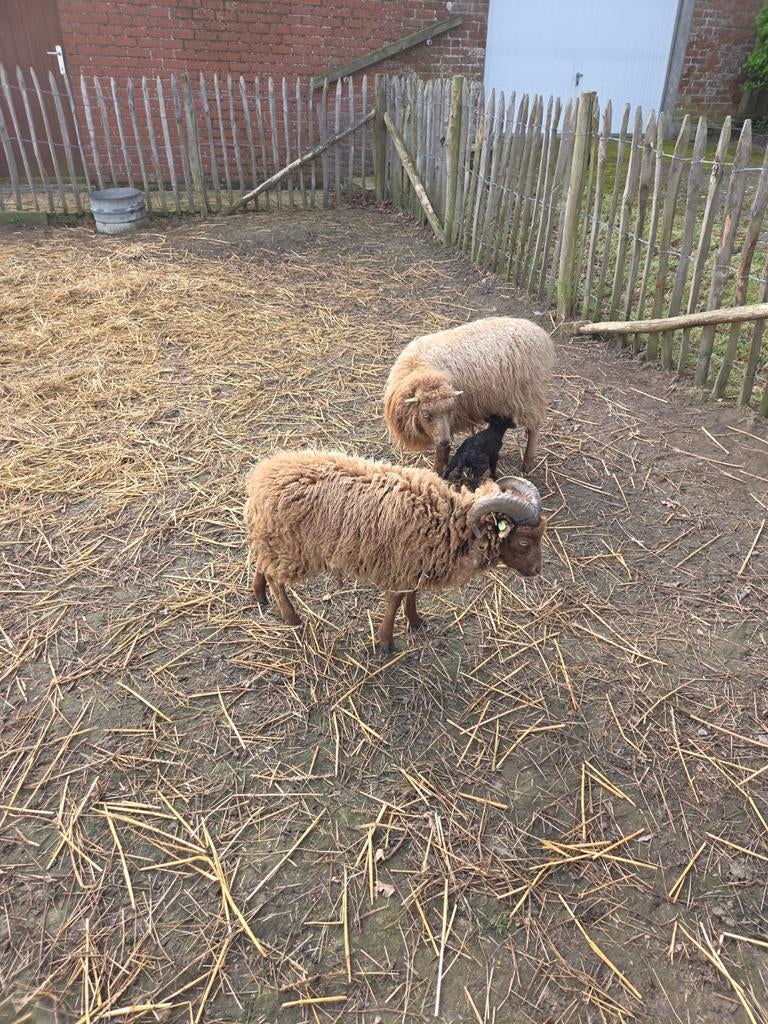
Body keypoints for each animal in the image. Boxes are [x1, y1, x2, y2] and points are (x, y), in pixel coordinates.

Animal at [244, 449, 547, 651]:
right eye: (523, 542)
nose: (536, 570)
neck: (448, 523)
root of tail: (261, 476)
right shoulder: (400, 566)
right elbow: (394, 602)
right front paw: (386, 642)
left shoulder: (414, 564)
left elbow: (411, 596)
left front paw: (416, 622)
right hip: (292, 549)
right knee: (276, 579)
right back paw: (292, 619)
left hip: (273, 539)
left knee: (261, 561)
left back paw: (260, 595)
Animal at [383, 317, 554, 476]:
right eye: (426, 414)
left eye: (450, 410)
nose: (444, 441)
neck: (422, 369)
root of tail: (539, 333)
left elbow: (440, 453)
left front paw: (436, 470)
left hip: (529, 395)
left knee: (534, 427)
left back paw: (528, 463)